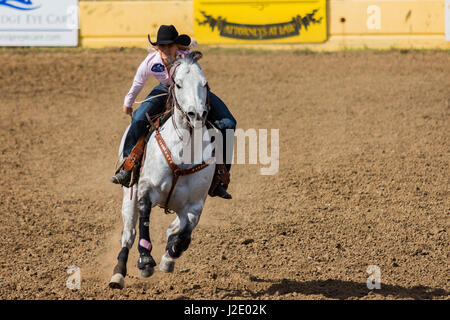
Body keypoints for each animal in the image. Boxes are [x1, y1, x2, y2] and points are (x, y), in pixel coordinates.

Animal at [108, 51, 215, 288]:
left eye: (205, 84)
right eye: (178, 84)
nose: (196, 115)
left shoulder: (195, 205)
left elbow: (183, 236)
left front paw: (168, 257)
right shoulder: (146, 189)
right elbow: (145, 218)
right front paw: (146, 261)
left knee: (174, 229)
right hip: (128, 195)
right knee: (128, 234)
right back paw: (118, 274)